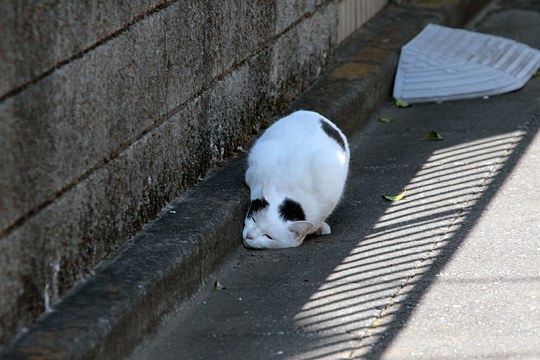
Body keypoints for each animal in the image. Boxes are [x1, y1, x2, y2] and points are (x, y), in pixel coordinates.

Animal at [244, 111, 350, 249]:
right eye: (254, 220)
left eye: (268, 236)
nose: (249, 236)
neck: (290, 192)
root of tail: (315, 114)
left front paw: (320, 226)